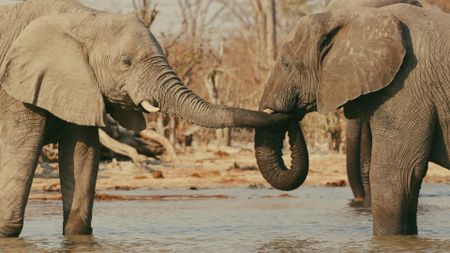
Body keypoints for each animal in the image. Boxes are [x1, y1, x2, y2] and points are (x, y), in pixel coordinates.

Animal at [0, 0, 288, 237]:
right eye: (125, 62)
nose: (279, 112)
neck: (84, 17)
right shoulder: (16, 92)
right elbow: (22, 150)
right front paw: (7, 232)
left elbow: (84, 153)